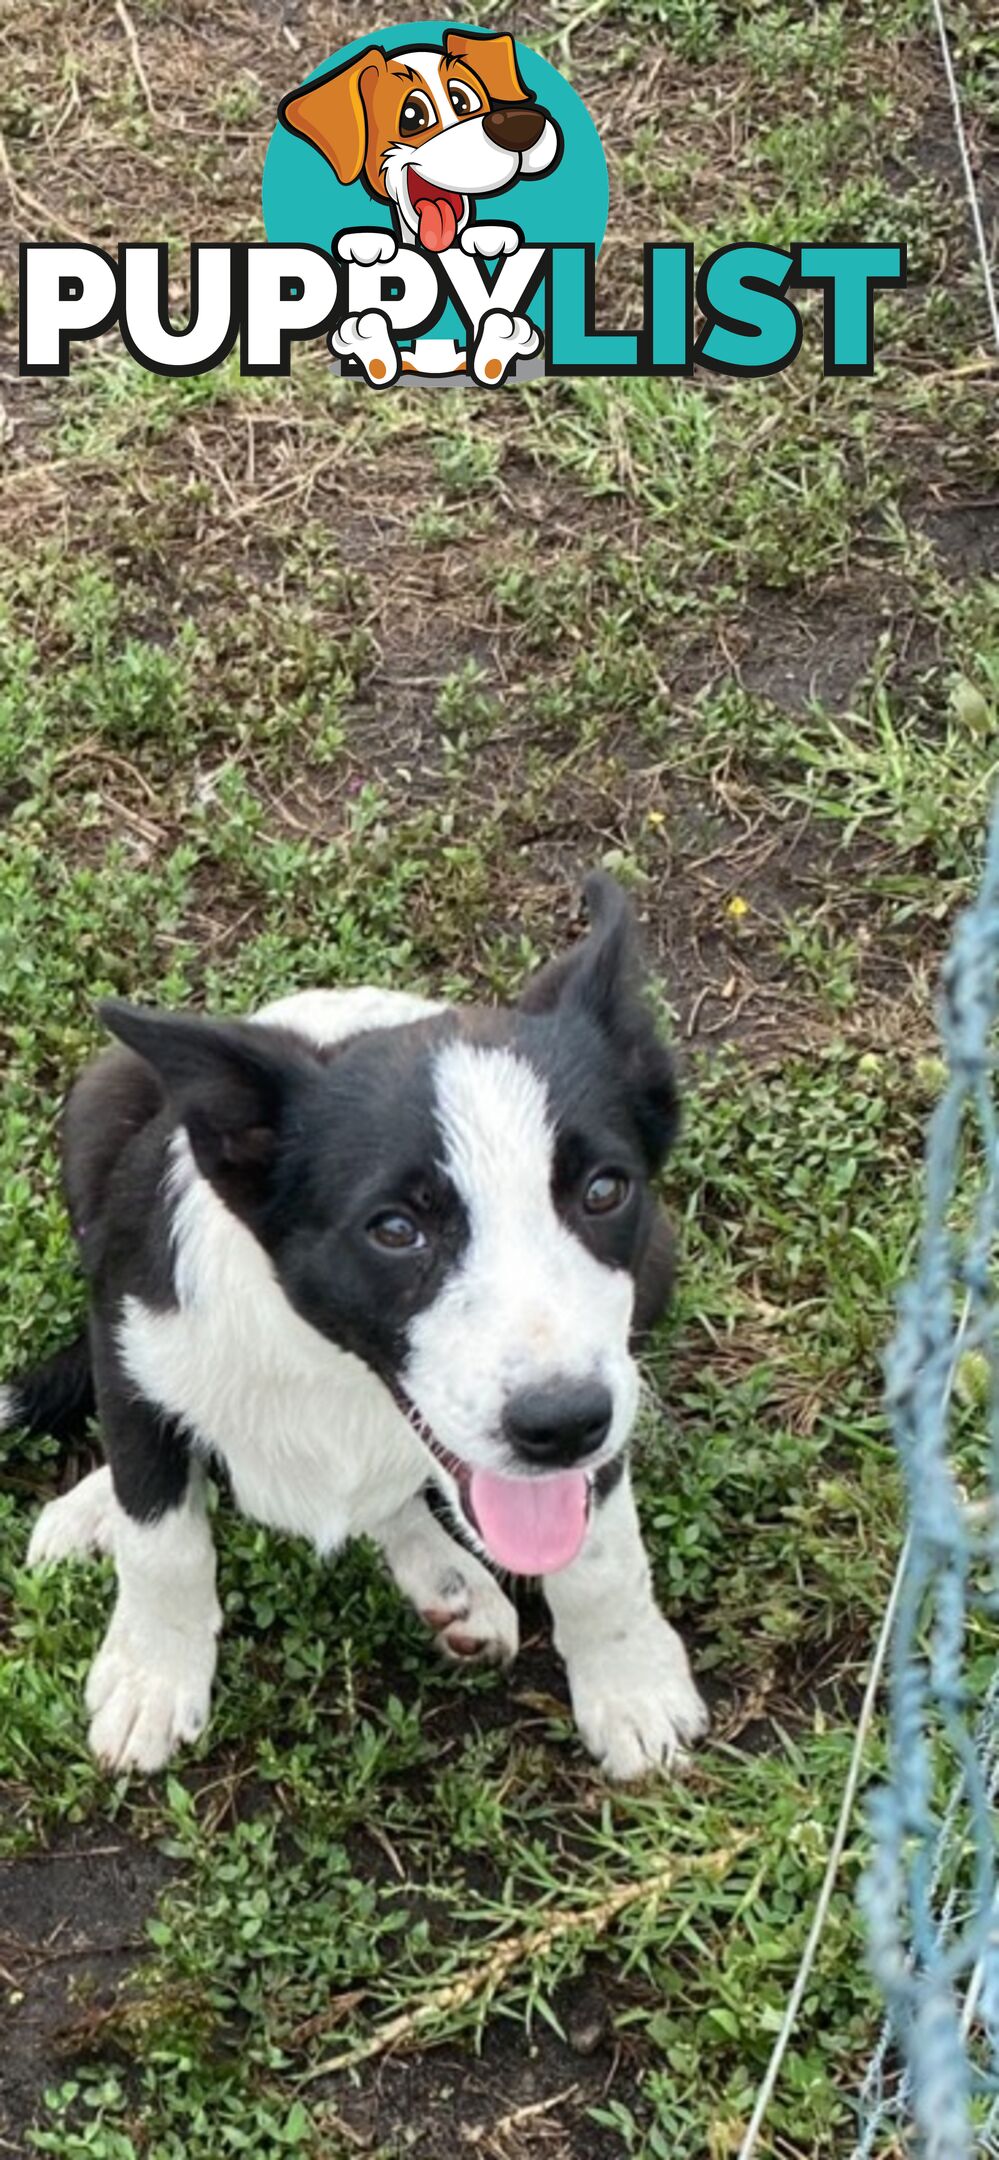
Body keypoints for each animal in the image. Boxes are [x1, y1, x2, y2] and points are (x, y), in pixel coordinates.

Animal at [5, 868, 709, 1779]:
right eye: (395, 1229)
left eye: (603, 1190)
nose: (561, 1425)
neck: (335, 1366)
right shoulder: (132, 1333)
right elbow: (160, 1530)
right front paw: (152, 1674)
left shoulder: (607, 1387)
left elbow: (601, 1551)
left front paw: (629, 1682)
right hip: (100, 1102)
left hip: (656, 1264)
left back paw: (450, 1582)